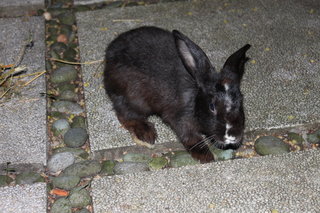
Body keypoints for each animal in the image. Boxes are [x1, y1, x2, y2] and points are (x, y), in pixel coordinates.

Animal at [104, 26, 251, 163]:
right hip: (133, 97)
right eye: (212, 106)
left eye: (240, 101)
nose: (232, 136)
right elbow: (191, 138)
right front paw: (205, 156)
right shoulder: (181, 119)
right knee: (126, 114)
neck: (195, 101)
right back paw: (147, 133)